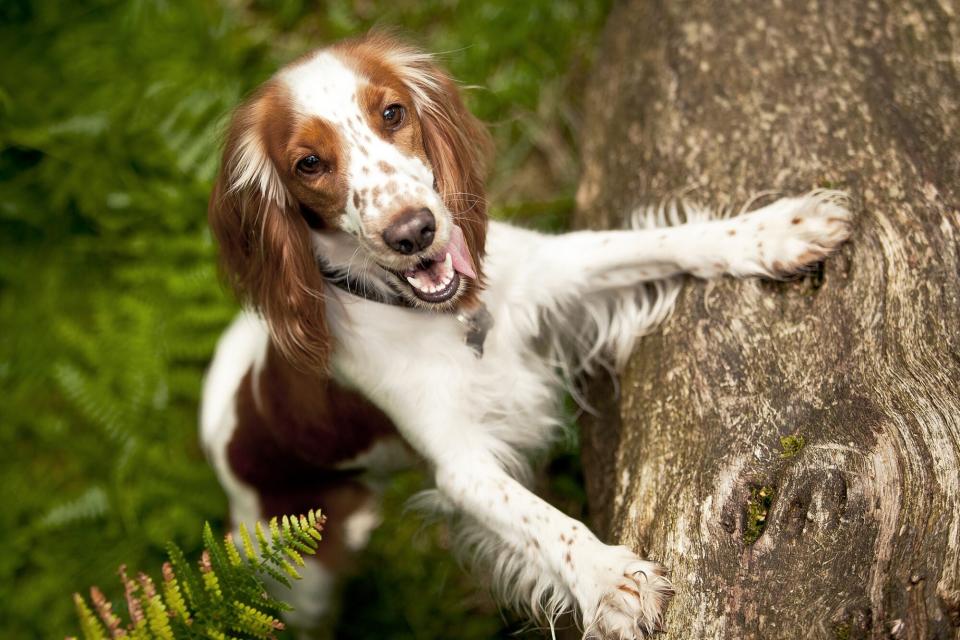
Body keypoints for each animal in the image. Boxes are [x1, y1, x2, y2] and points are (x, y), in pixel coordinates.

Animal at [199, 31, 852, 640]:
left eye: (392, 113)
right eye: (308, 163)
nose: (412, 231)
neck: (450, 316)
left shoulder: (558, 268)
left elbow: (656, 240)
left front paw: (777, 231)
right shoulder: (460, 463)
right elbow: (542, 522)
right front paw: (607, 578)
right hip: (297, 576)